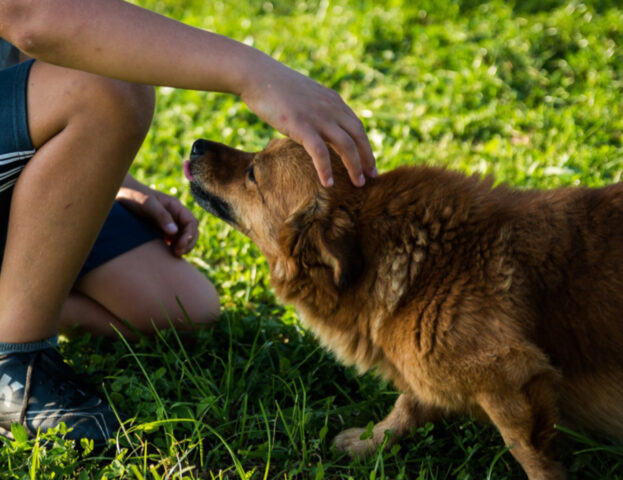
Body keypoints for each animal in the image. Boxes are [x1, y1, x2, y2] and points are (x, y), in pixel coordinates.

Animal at [185, 138, 623, 480]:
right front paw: (371, 442)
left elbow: (529, 454)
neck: (422, 262)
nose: (196, 145)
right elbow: (407, 405)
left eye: (253, 172)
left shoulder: (511, 377)